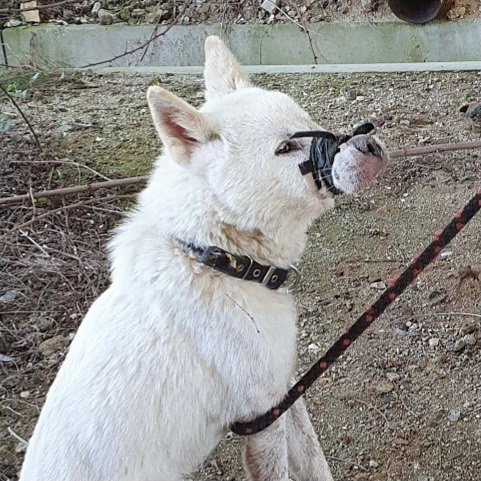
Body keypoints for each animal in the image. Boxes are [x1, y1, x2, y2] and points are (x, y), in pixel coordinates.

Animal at [20, 35, 386, 478]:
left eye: (309, 120)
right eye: (284, 147)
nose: (370, 143)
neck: (219, 260)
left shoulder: (284, 392)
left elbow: (315, 463)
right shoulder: (262, 416)